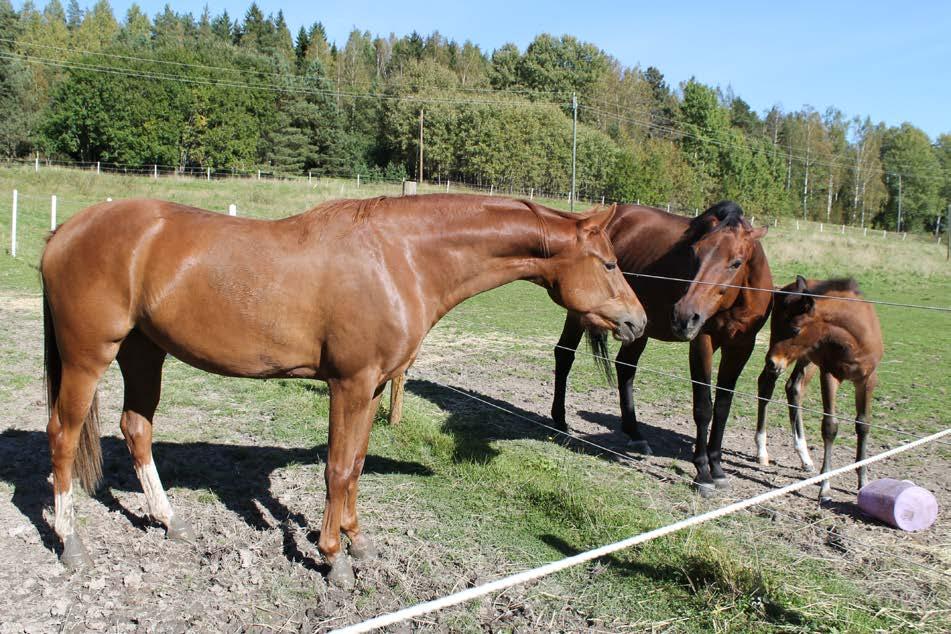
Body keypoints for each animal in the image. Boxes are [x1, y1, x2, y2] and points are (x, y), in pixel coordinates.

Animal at [39, 193, 648, 584]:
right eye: (608, 263)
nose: (638, 322)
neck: (400, 258)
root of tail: (66, 231)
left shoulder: (373, 388)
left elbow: (354, 465)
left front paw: (359, 543)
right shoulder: (348, 385)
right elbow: (335, 468)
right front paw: (332, 560)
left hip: (143, 351)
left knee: (136, 429)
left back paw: (171, 522)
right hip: (89, 357)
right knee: (63, 436)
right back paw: (71, 545)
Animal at [552, 200, 772, 492]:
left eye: (736, 262)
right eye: (695, 254)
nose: (684, 315)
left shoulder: (741, 347)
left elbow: (723, 407)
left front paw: (717, 468)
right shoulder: (702, 341)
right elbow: (704, 407)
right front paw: (703, 472)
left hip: (639, 326)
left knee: (625, 367)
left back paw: (635, 434)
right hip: (582, 313)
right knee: (564, 355)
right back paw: (560, 420)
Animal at [760, 274, 884, 502]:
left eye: (795, 329)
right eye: (783, 324)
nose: (772, 362)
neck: (854, 340)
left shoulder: (867, 379)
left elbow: (863, 424)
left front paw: (863, 481)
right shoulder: (829, 374)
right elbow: (829, 427)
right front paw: (825, 487)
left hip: (805, 358)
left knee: (793, 388)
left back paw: (805, 458)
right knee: (766, 386)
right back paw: (761, 451)